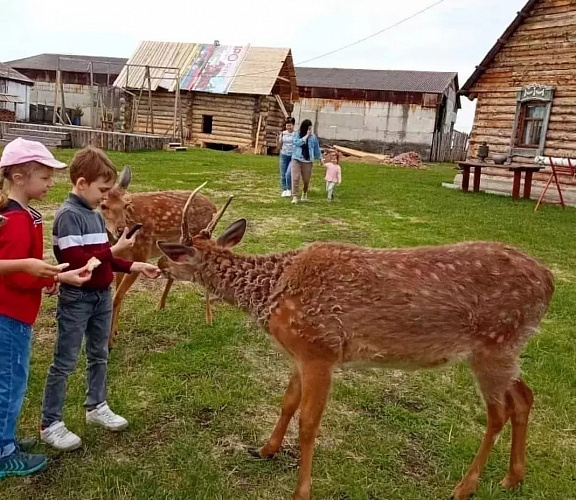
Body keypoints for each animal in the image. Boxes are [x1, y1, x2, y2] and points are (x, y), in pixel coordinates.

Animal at [100, 168, 223, 348]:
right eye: (103, 206)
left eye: (126, 205)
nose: (121, 230)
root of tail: (214, 206)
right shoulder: (120, 258)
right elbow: (118, 296)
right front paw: (114, 332)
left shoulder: (141, 253)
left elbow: (117, 297)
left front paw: (110, 343)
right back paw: (160, 305)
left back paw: (209, 318)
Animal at [156, 222, 552, 500]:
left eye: (175, 255)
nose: (158, 264)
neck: (274, 290)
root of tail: (549, 283)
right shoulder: (300, 354)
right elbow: (287, 403)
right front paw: (266, 449)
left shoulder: (321, 349)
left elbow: (309, 424)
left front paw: (301, 491)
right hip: (507, 349)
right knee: (524, 397)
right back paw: (513, 478)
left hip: (493, 344)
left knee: (498, 412)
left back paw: (464, 487)